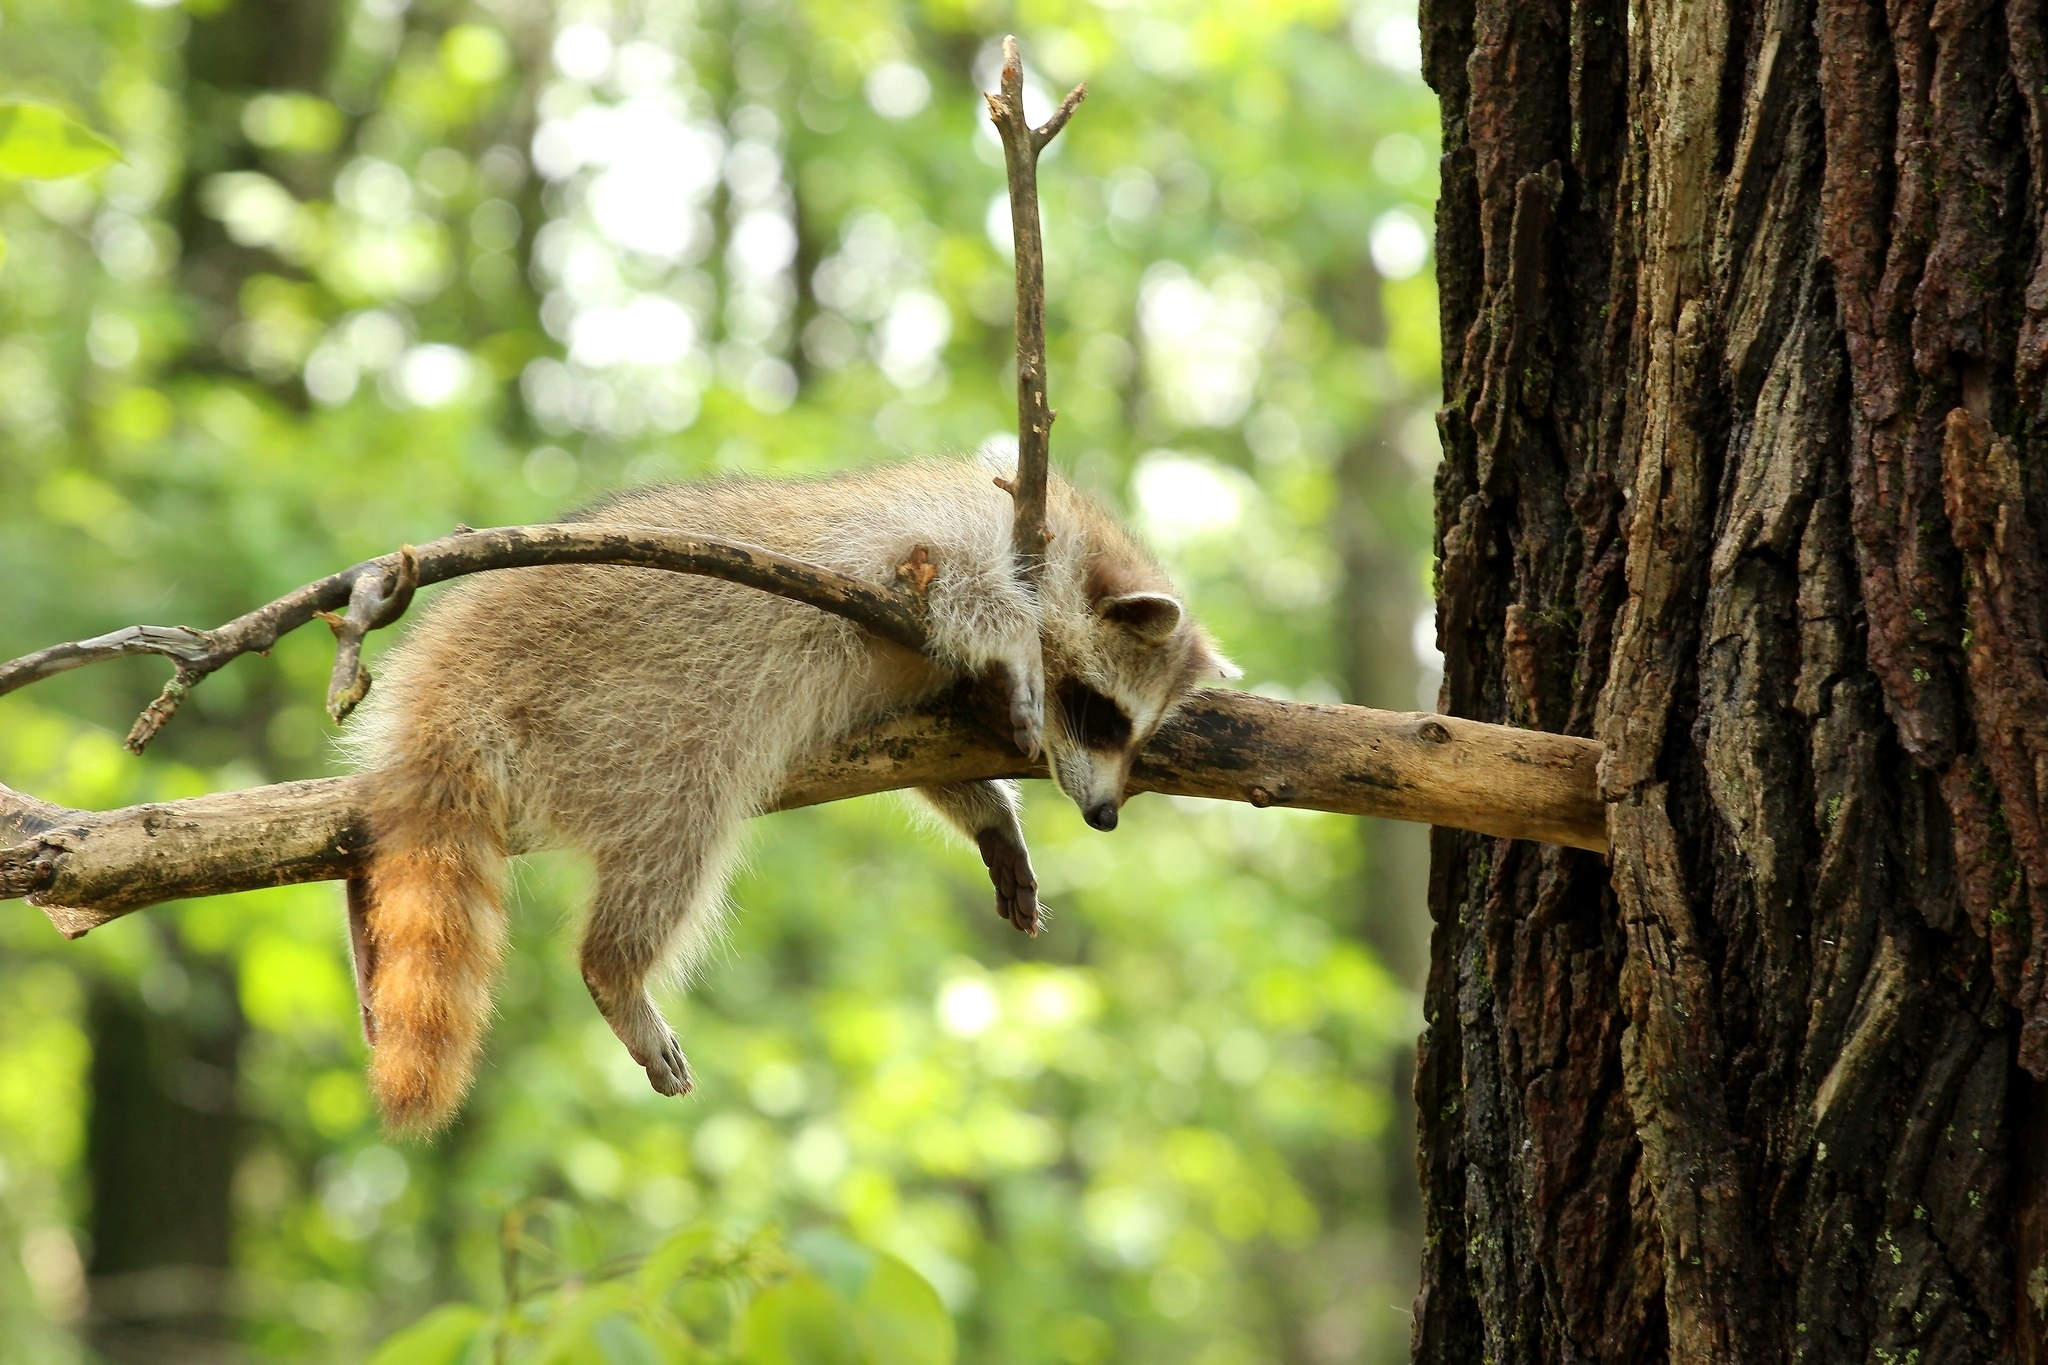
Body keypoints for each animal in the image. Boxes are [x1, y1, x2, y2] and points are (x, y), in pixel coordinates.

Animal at [344, 454, 1228, 1137]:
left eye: (1138, 736)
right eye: (1105, 716)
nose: (1106, 815)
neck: (1058, 542)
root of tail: (451, 678)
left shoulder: (930, 692)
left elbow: (923, 755)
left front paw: (989, 815)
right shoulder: (932, 536)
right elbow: (961, 589)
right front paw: (1013, 643)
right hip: (629, 720)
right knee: (679, 834)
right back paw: (616, 967)